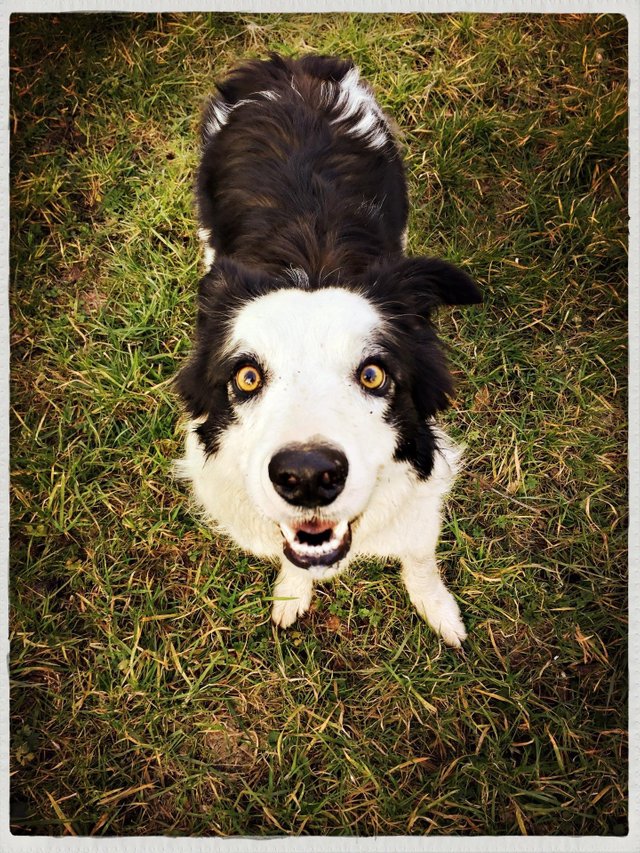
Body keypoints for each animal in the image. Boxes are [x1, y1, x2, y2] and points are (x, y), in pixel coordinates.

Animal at [175, 53, 480, 644]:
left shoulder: (422, 495)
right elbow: (290, 556)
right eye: (246, 377)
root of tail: (286, 68)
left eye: (373, 374)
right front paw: (291, 594)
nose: (308, 477)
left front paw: (439, 611)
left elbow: (420, 559)